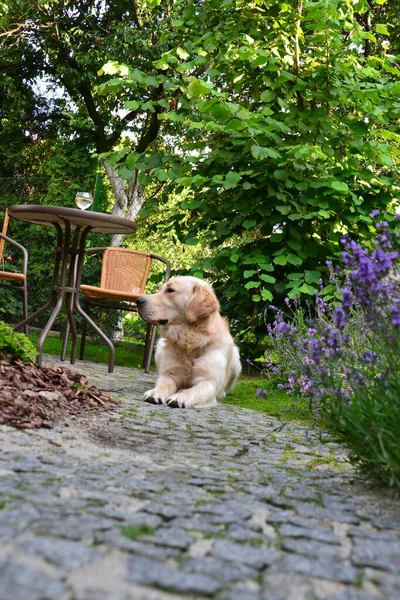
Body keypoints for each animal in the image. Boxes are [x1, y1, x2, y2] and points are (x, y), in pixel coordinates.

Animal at [136, 276, 241, 408]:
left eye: (170, 290)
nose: (138, 300)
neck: (190, 339)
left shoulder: (208, 381)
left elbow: (193, 390)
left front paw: (181, 397)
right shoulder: (170, 374)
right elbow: (163, 384)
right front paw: (155, 393)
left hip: (236, 363)